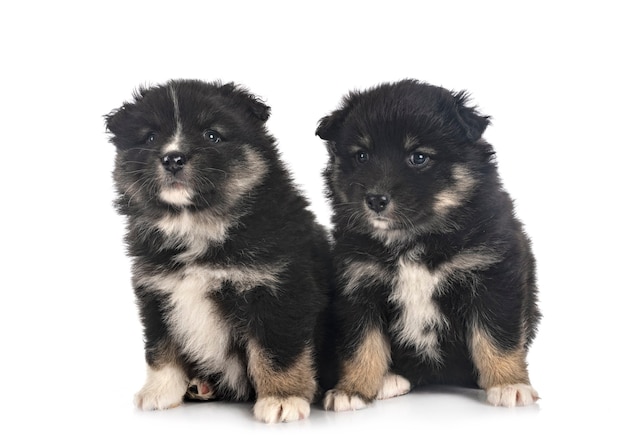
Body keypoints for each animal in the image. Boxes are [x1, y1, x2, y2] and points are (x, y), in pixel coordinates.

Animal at [105, 79, 334, 424]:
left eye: (211, 135)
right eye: (150, 137)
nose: (173, 158)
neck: (198, 226)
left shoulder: (281, 290)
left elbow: (277, 350)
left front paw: (282, 398)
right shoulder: (156, 292)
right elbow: (161, 346)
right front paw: (160, 391)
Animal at [314, 79, 540, 410]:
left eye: (418, 157)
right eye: (361, 156)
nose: (376, 200)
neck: (414, 239)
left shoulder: (493, 276)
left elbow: (497, 337)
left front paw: (508, 384)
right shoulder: (358, 285)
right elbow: (362, 344)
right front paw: (352, 390)